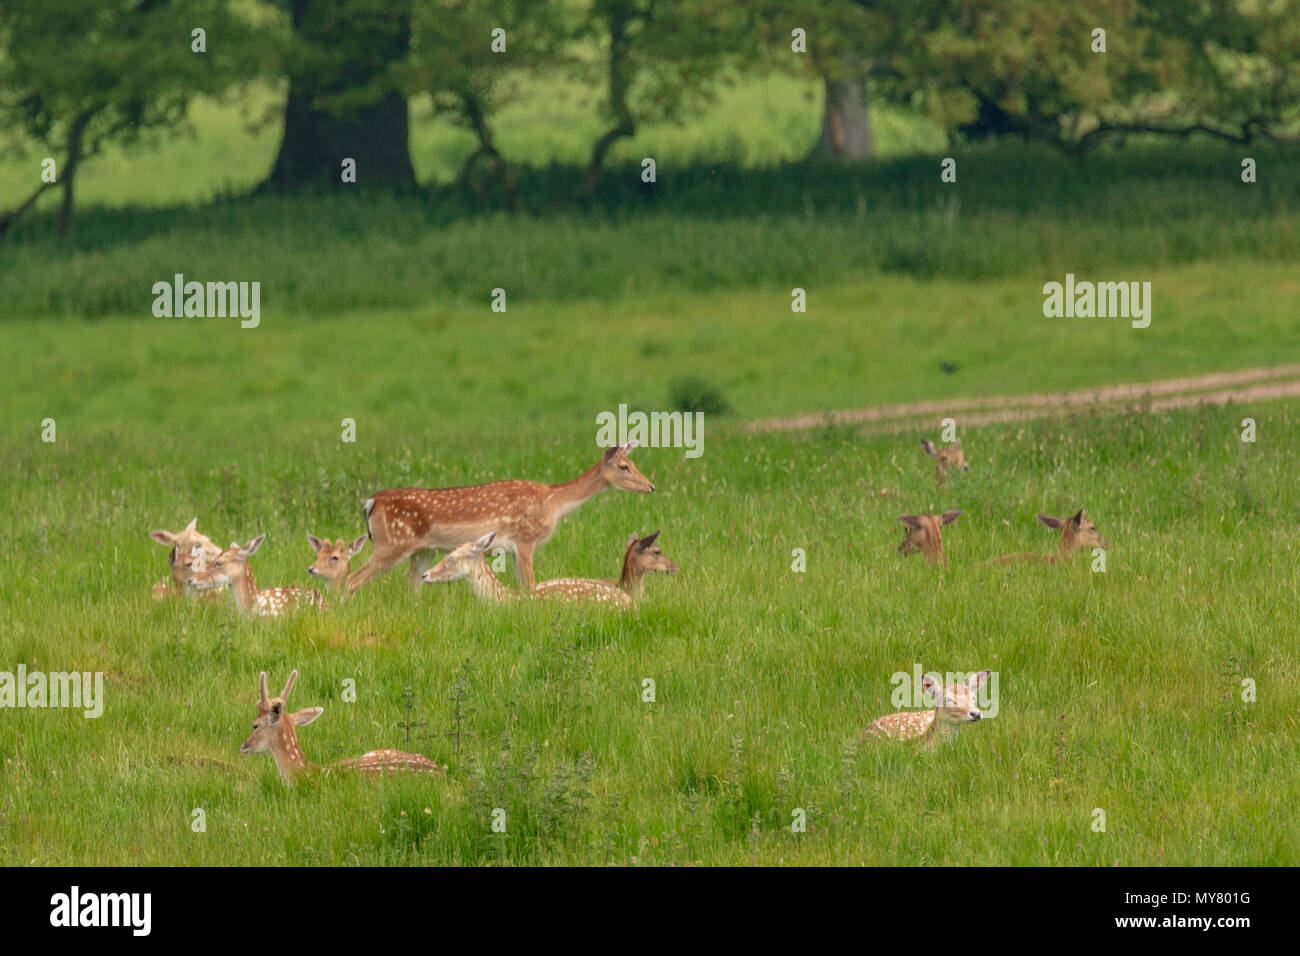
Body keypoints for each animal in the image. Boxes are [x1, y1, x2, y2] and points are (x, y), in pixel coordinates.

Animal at [345, 444, 655, 595]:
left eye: (635, 463)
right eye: (624, 467)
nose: (651, 486)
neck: (552, 502)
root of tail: (371, 503)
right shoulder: (525, 540)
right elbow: (529, 585)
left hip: (422, 550)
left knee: (411, 587)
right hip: (390, 545)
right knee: (349, 580)